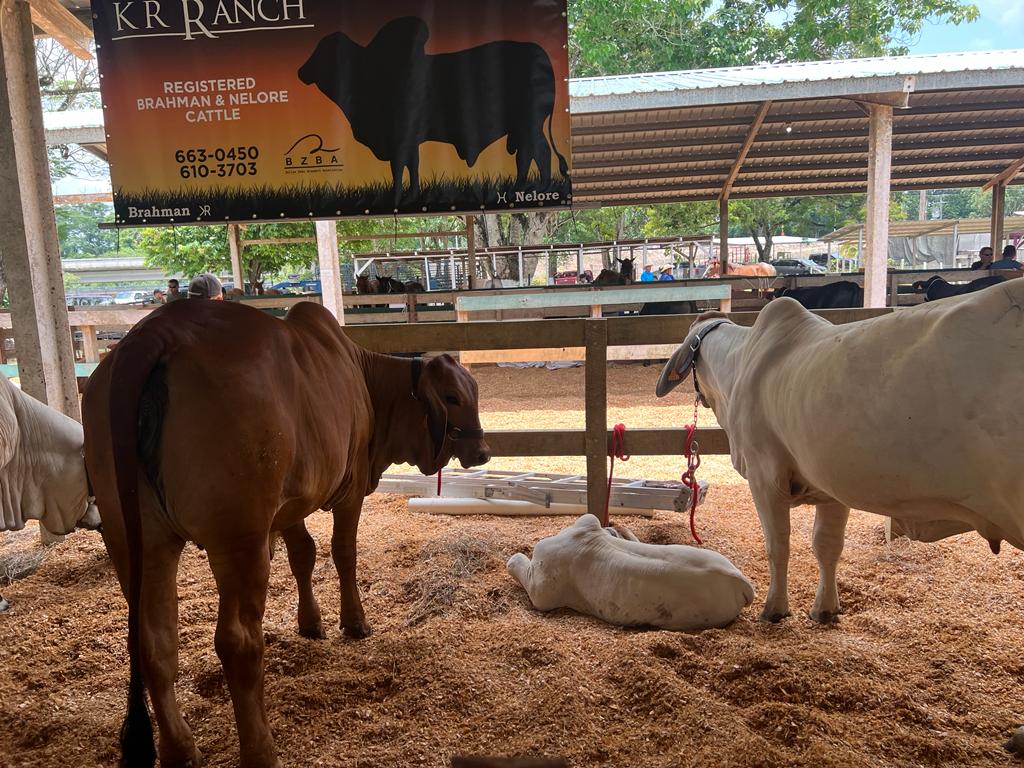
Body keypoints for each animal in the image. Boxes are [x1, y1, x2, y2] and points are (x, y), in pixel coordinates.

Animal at [81, 299, 489, 768]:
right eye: (453, 397)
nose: (482, 451)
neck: (364, 380)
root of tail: (155, 332)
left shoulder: (292, 503)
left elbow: (304, 555)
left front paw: (310, 622)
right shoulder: (348, 489)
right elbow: (342, 552)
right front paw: (355, 621)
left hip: (135, 539)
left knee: (153, 643)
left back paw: (181, 749)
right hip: (239, 537)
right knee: (237, 642)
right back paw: (260, 750)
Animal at [296, 18, 573, 208]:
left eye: (324, 51)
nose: (300, 71)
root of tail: (542, 56)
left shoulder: (399, 140)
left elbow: (400, 168)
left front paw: (398, 195)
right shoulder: (409, 142)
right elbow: (412, 166)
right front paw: (411, 195)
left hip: (529, 123)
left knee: (539, 151)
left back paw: (536, 187)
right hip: (524, 127)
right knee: (528, 154)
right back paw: (523, 188)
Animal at [651, 284, 1024, 753]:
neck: (742, 364)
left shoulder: (765, 476)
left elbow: (779, 545)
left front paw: (775, 609)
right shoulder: (830, 485)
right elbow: (827, 546)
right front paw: (826, 609)